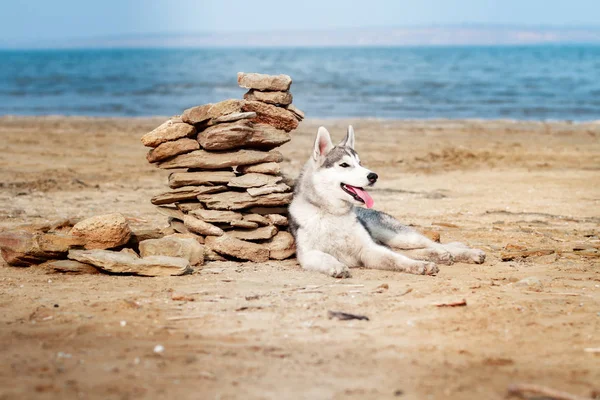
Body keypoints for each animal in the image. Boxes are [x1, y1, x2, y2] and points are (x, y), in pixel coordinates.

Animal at [288, 126, 488, 276]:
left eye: (360, 163)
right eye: (344, 165)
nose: (373, 176)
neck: (332, 214)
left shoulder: (369, 250)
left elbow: (397, 259)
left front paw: (419, 265)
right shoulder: (308, 254)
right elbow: (325, 257)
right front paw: (336, 266)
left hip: (399, 236)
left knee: (430, 244)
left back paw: (463, 252)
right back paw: (438, 255)